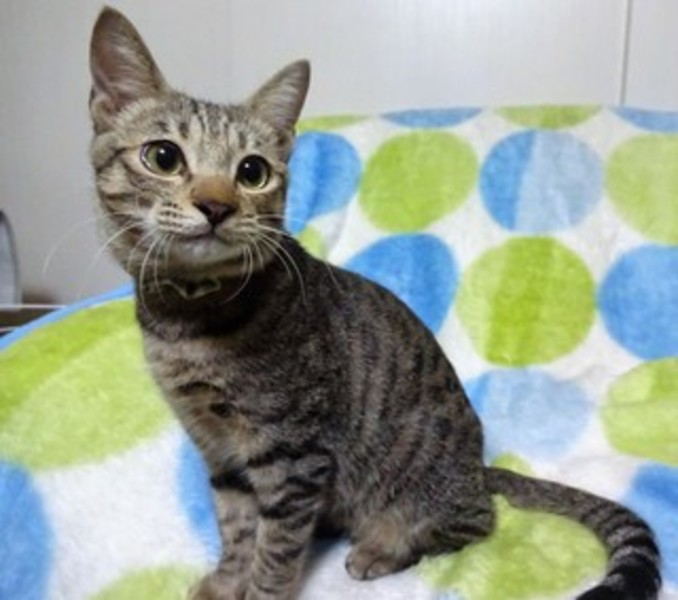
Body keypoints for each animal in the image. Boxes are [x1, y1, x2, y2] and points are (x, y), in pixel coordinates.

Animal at [88, 7, 661, 600]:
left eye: (252, 172)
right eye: (163, 157)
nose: (216, 205)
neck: (189, 320)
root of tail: (477, 469)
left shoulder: (293, 454)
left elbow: (275, 548)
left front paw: (261, 588)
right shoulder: (218, 448)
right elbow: (238, 527)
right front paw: (226, 581)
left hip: (420, 485)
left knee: (472, 523)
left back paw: (382, 549)